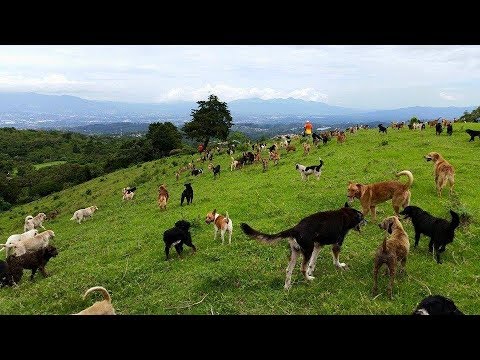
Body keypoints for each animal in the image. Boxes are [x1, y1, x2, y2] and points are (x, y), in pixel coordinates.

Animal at [240, 202, 368, 290]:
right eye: (362, 217)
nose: (367, 222)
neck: (345, 214)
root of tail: (295, 229)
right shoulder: (336, 245)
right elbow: (335, 260)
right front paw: (340, 266)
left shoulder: (317, 246)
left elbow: (312, 263)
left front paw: (310, 271)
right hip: (307, 251)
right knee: (302, 269)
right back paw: (309, 279)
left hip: (296, 252)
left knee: (288, 270)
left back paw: (287, 287)